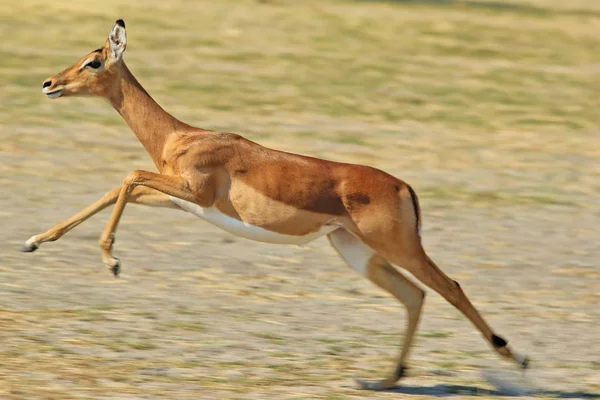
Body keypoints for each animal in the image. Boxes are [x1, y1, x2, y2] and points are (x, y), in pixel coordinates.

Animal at [24, 20, 528, 390]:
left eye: (93, 61)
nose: (48, 83)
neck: (179, 137)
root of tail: (404, 186)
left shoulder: (192, 192)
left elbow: (127, 177)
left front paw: (111, 261)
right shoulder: (179, 199)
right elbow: (117, 187)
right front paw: (34, 241)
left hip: (399, 246)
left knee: (450, 287)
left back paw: (516, 357)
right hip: (356, 251)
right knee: (415, 295)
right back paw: (386, 379)